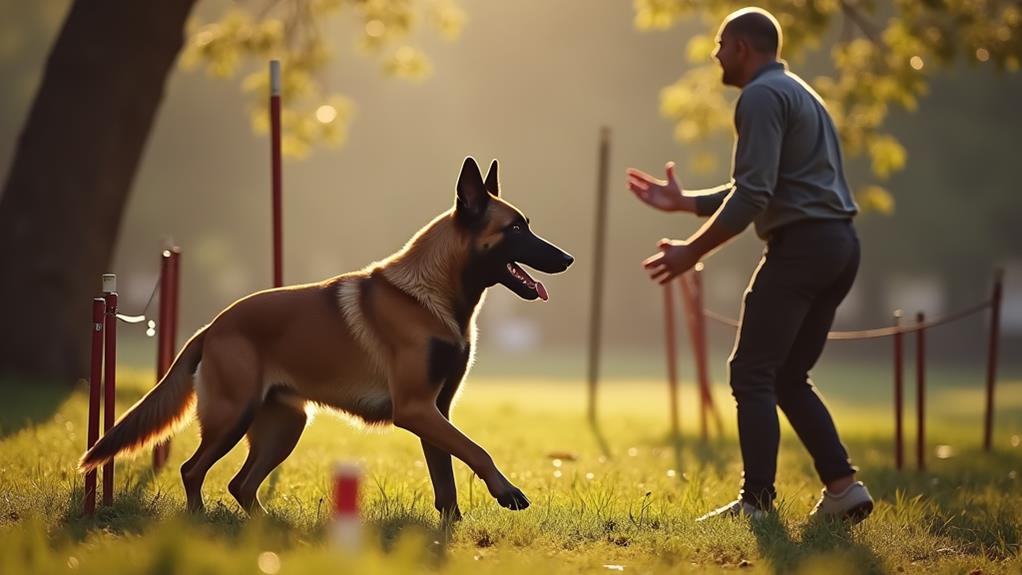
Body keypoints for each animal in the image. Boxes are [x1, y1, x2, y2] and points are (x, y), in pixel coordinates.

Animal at [77, 156, 576, 516]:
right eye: (516, 228)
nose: (568, 258)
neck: (429, 297)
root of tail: (213, 326)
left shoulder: (437, 410)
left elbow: (446, 479)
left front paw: (449, 533)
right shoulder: (417, 409)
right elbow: (477, 450)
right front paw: (507, 492)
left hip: (285, 426)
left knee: (241, 484)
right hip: (233, 415)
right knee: (191, 469)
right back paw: (199, 521)